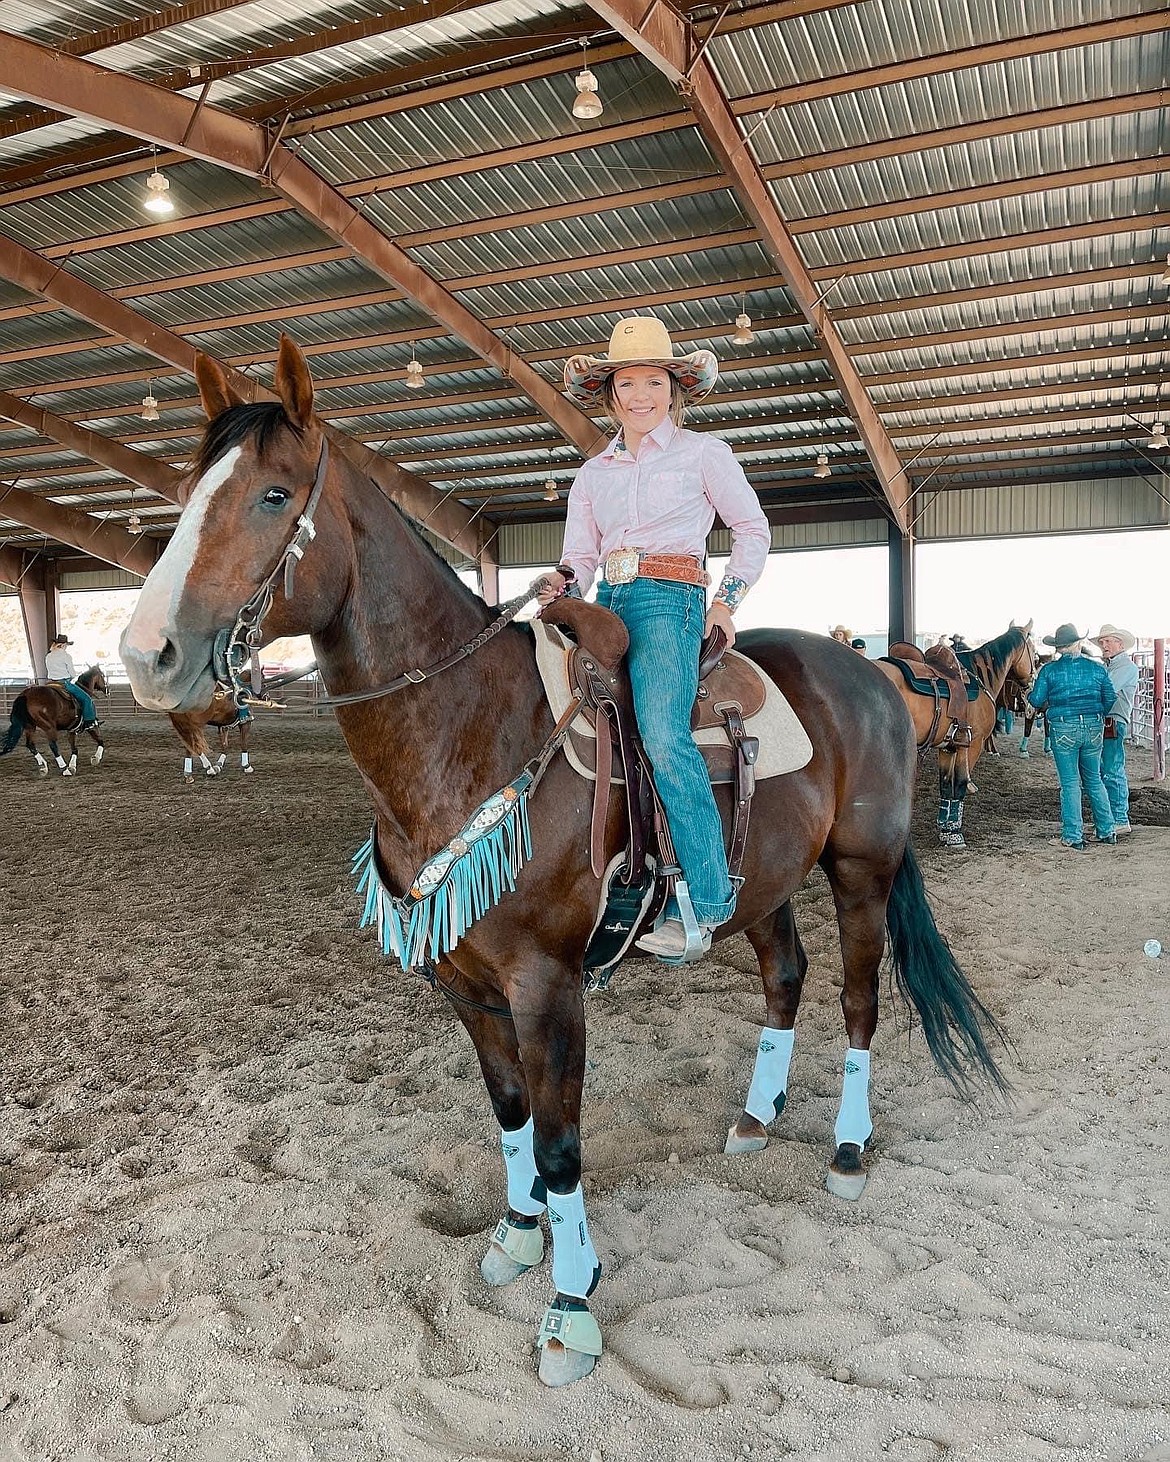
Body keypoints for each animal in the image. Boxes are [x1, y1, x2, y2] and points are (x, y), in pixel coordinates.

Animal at [116, 336, 1006, 1385]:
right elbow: (509, 1116)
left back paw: (848, 1152)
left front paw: (572, 1308)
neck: (470, 730)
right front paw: (513, 1238)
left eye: (271, 494)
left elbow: (560, 1144)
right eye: (187, 491)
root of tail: (876, 671)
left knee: (859, 1002)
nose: (146, 653)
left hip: (862, 869)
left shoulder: (549, 984)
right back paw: (755, 1120)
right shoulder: (464, 981)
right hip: (762, 883)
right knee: (785, 978)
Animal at [883, 625, 1035, 853]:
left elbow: (946, 785)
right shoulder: (972, 745)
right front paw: (955, 833)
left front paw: (944, 828)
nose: (1032, 685)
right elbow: (961, 784)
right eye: (1034, 652)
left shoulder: (949, 747)